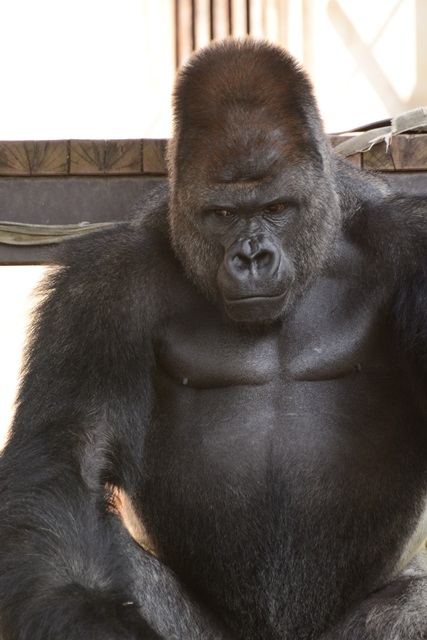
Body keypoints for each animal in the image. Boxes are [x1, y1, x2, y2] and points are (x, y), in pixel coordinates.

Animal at [0, 38, 427, 640]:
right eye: (223, 214)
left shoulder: (412, 247)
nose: (252, 257)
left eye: (276, 208)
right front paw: (90, 622)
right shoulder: (99, 289)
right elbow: (67, 461)